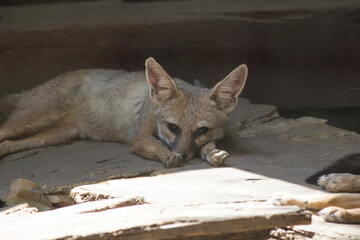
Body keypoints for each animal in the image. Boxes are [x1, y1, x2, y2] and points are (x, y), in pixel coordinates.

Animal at [0, 57, 248, 168]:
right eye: (172, 127)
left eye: (201, 130)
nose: (183, 154)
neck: (152, 104)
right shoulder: (139, 137)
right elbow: (155, 144)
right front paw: (168, 155)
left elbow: (209, 145)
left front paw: (212, 152)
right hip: (33, 121)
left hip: (54, 136)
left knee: (9, 144)